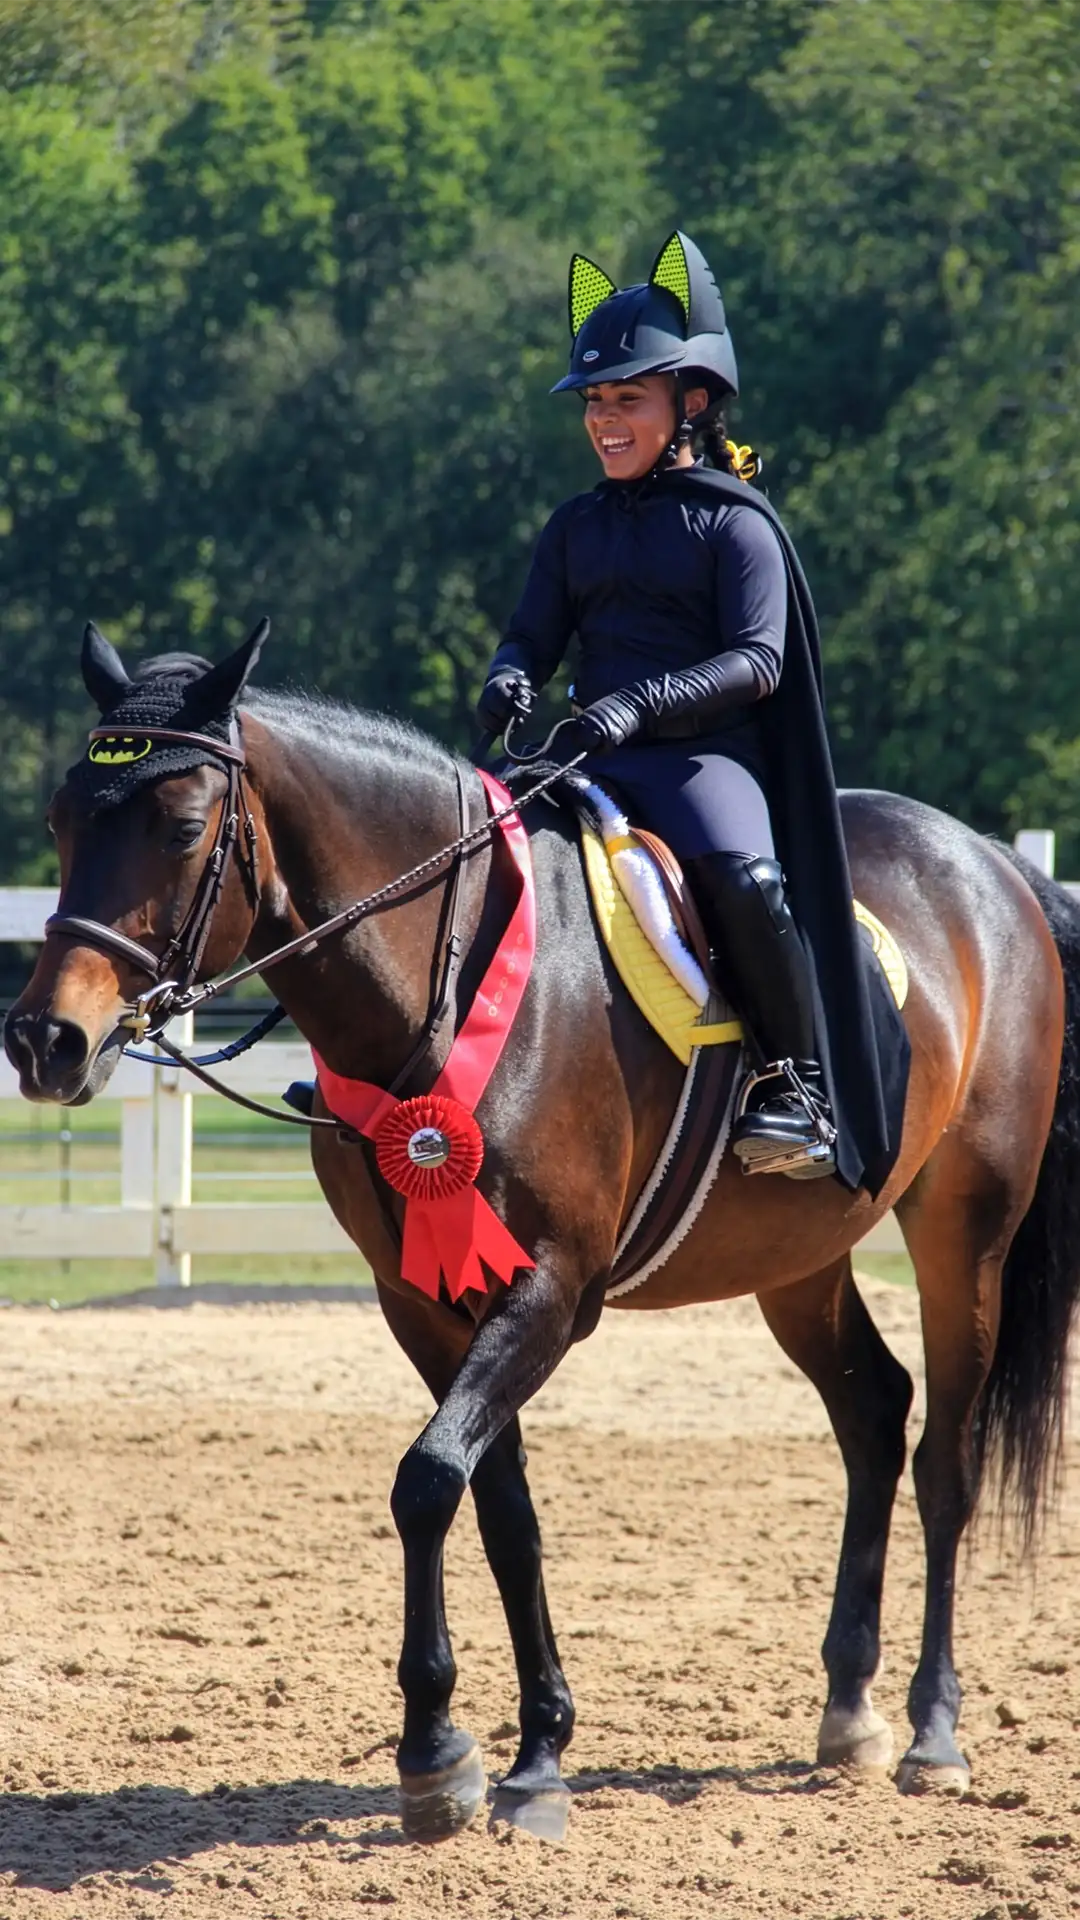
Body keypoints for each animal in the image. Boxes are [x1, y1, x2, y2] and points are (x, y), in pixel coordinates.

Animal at [6, 622, 1080, 1845]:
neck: (447, 980)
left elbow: (429, 1481)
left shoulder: (552, 1294)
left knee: (946, 1459)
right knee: (873, 1412)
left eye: (183, 826)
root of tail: (991, 863)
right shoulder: (424, 1301)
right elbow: (499, 1510)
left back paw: (932, 1731)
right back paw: (849, 1708)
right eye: (60, 819)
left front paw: (441, 1753)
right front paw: (520, 1752)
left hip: (965, 1232)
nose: (45, 1040)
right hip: (798, 1259)